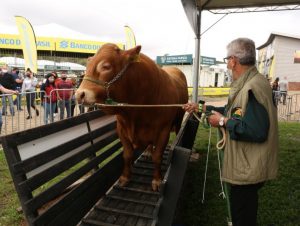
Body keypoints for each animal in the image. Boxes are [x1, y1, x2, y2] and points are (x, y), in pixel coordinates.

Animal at [75, 42, 188, 191]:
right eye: (87, 66)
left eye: (106, 66)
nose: (79, 94)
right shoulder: (121, 129)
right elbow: (127, 155)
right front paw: (125, 177)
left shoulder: (164, 130)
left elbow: (158, 156)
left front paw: (157, 180)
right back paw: (147, 151)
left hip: (180, 117)